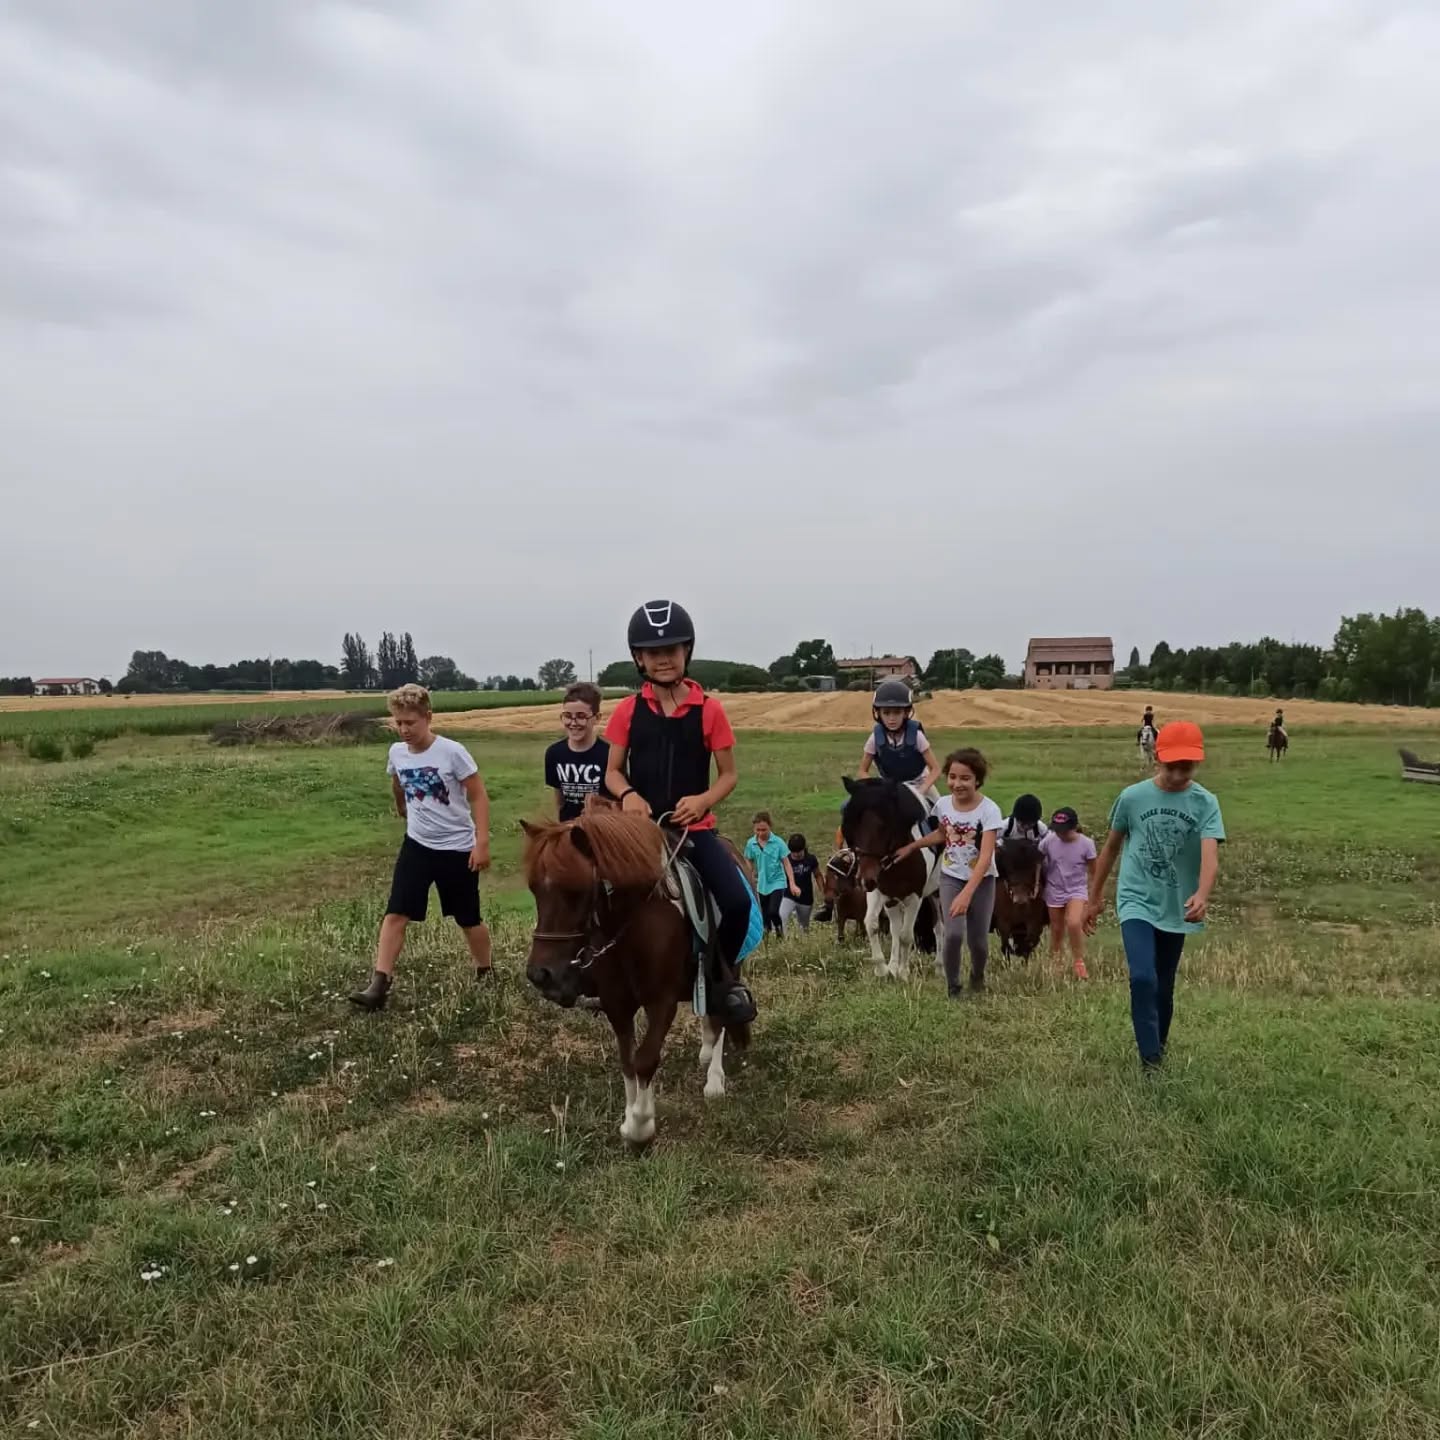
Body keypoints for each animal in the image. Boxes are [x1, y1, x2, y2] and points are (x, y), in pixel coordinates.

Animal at [521, 808, 751, 1149]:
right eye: (534, 889)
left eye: (575, 891)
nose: (540, 975)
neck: (637, 922)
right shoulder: (616, 1002)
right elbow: (628, 1060)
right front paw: (630, 1118)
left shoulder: (662, 1001)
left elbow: (645, 1059)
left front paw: (641, 1128)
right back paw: (706, 1052)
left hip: (730, 965)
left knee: (720, 1011)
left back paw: (714, 1079)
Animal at [839, 776, 940, 979]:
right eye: (852, 825)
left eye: (885, 825)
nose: (865, 878)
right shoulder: (879, 891)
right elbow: (872, 925)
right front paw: (883, 969)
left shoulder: (915, 896)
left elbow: (906, 935)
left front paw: (903, 973)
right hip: (892, 899)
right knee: (895, 928)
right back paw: (894, 966)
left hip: (938, 892)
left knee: (940, 927)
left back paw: (940, 967)